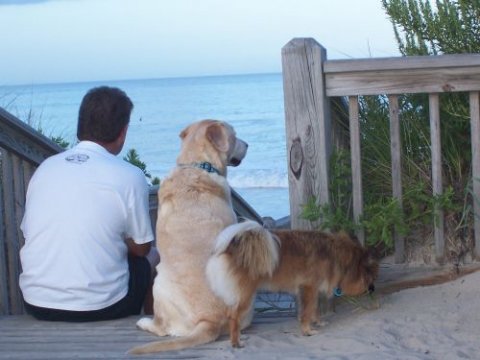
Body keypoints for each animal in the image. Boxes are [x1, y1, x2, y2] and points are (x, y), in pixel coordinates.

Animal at [129, 119, 249, 354]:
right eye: (234, 134)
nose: (248, 144)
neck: (198, 164)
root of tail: (210, 320)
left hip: (158, 282)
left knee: (162, 328)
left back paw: (145, 322)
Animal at [206, 221, 378, 348]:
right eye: (370, 276)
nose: (372, 289)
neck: (334, 254)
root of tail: (230, 248)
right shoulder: (309, 288)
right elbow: (307, 311)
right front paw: (307, 331)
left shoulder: (313, 290)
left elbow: (314, 309)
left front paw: (318, 322)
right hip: (246, 295)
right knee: (233, 316)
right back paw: (236, 342)